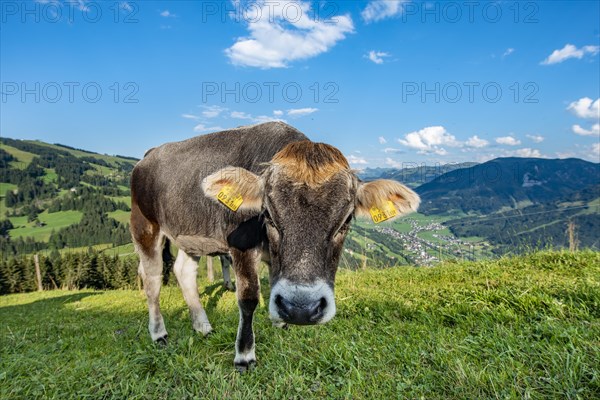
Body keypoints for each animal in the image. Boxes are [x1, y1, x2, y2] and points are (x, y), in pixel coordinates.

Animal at [129, 120, 420, 370]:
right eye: (267, 214)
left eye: (346, 219)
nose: (302, 308)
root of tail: (149, 155)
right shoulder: (241, 246)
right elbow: (248, 299)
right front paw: (244, 355)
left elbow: (272, 283)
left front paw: (280, 323)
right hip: (144, 225)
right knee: (152, 279)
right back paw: (159, 333)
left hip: (190, 235)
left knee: (183, 272)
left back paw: (202, 325)